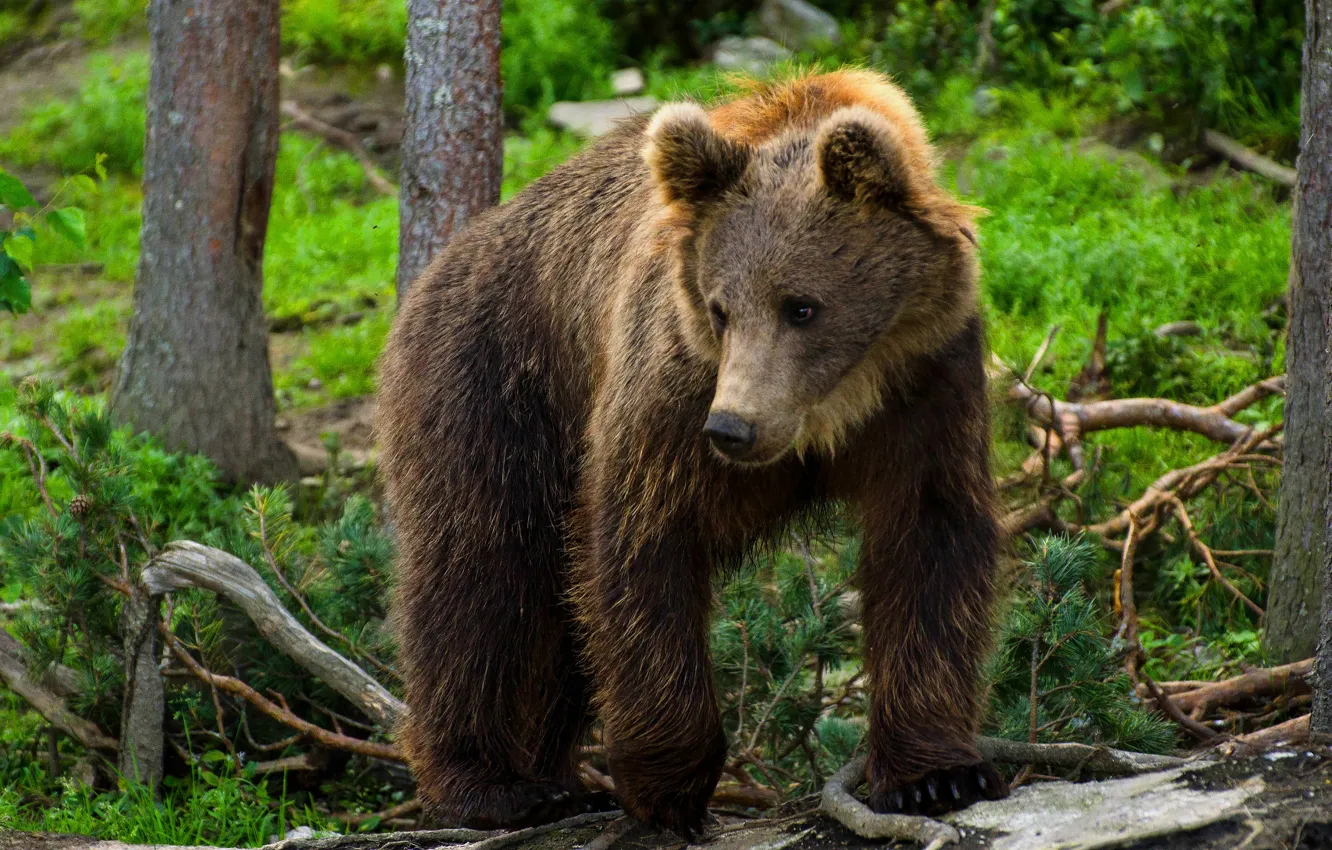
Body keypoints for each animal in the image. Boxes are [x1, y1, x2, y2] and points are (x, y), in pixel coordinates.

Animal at [376, 69, 1009, 838]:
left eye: (802, 306)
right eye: (720, 308)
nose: (733, 428)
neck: (830, 410)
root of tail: (441, 265)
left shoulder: (928, 387)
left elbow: (928, 547)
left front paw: (935, 775)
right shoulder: (671, 394)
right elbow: (644, 546)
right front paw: (668, 787)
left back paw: (551, 775)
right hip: (495, 386)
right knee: (481, 573)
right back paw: (493, 784)